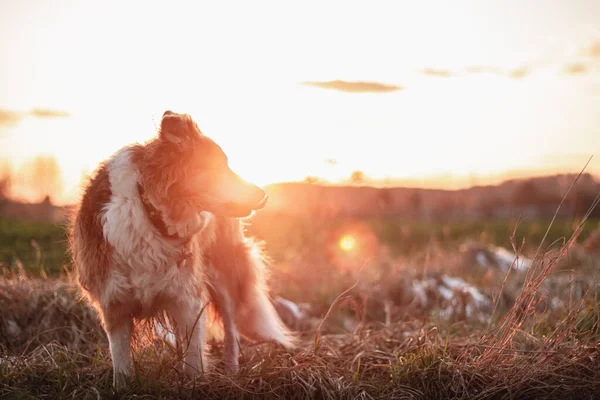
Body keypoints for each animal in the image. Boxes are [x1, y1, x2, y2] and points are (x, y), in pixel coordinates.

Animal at [69, 111, 294, 390]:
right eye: (218, 166)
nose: (263, 195)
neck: (150, 212)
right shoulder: (114, 304)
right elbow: (120, 365)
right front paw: (123, 388)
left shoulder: (188, 299)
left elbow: (194, 362)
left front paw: (195, 384)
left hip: (223, 276)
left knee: (231, 330)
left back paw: (232, 372)